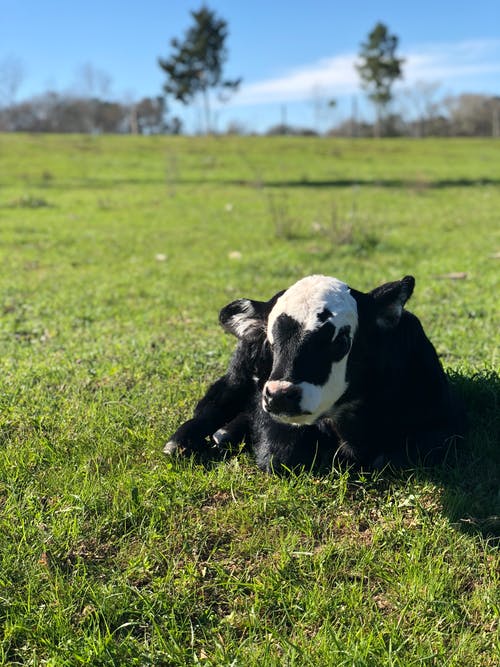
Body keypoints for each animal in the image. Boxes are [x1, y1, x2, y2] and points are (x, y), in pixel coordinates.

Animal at [165, 274, 464, 472]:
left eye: (341, 340)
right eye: (270, 342)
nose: (280, 395)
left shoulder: (443, 424)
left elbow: (395, 456)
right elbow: (279, 454)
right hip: (237, 376)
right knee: (212, 404)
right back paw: (185, 442)